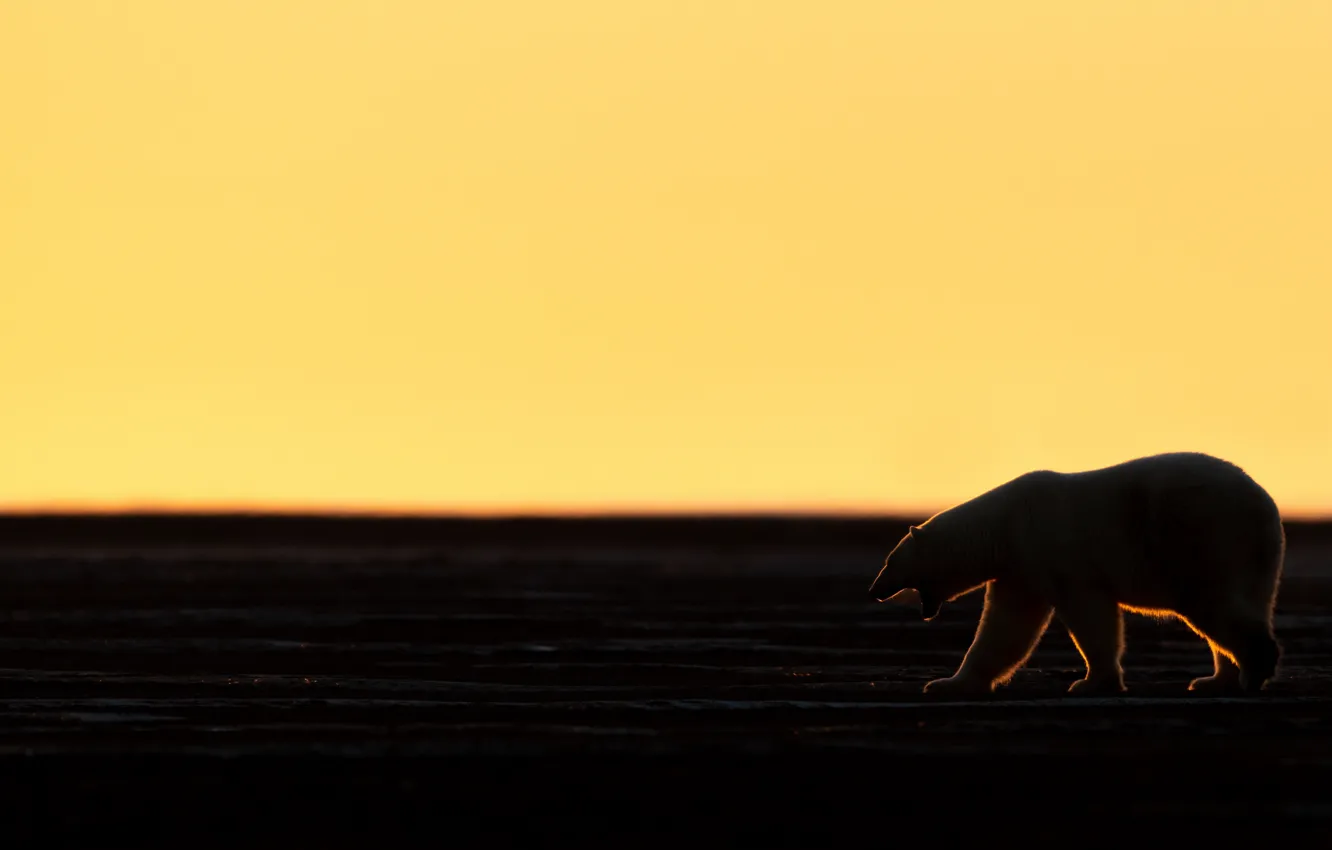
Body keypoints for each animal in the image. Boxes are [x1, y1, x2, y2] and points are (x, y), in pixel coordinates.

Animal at [868, 452, 1285, 698]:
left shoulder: (1057, 552)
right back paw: (1214, 679)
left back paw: (1253, 670)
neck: (1003, 527)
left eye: (889, 562)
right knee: (1243, 604)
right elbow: (1006, 625)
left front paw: (1090, 682)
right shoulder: (1022, 567)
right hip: (1254, 560)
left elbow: (1089, 615)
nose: (874, 590)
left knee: (1210, 603)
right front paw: (948, 683)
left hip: (1199, 538)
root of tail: (1264, 505)